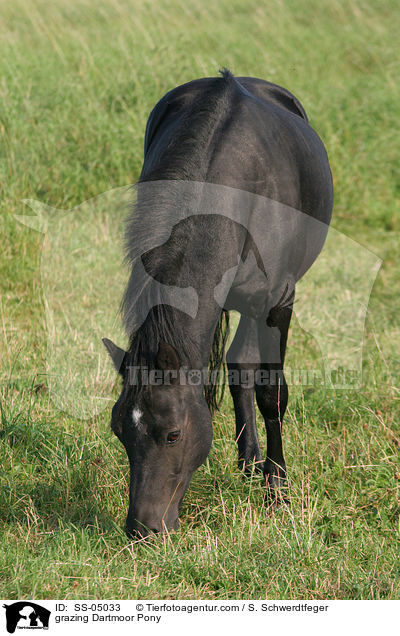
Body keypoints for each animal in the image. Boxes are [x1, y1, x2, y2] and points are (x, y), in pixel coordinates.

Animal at [104, 69, 334, 536]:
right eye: (120, 431)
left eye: (173, 434)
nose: (142, 528)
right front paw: (262, 473)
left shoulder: (278, 302)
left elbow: (272, 393)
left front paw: (278, 493)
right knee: (238, 361)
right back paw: (248, 462)